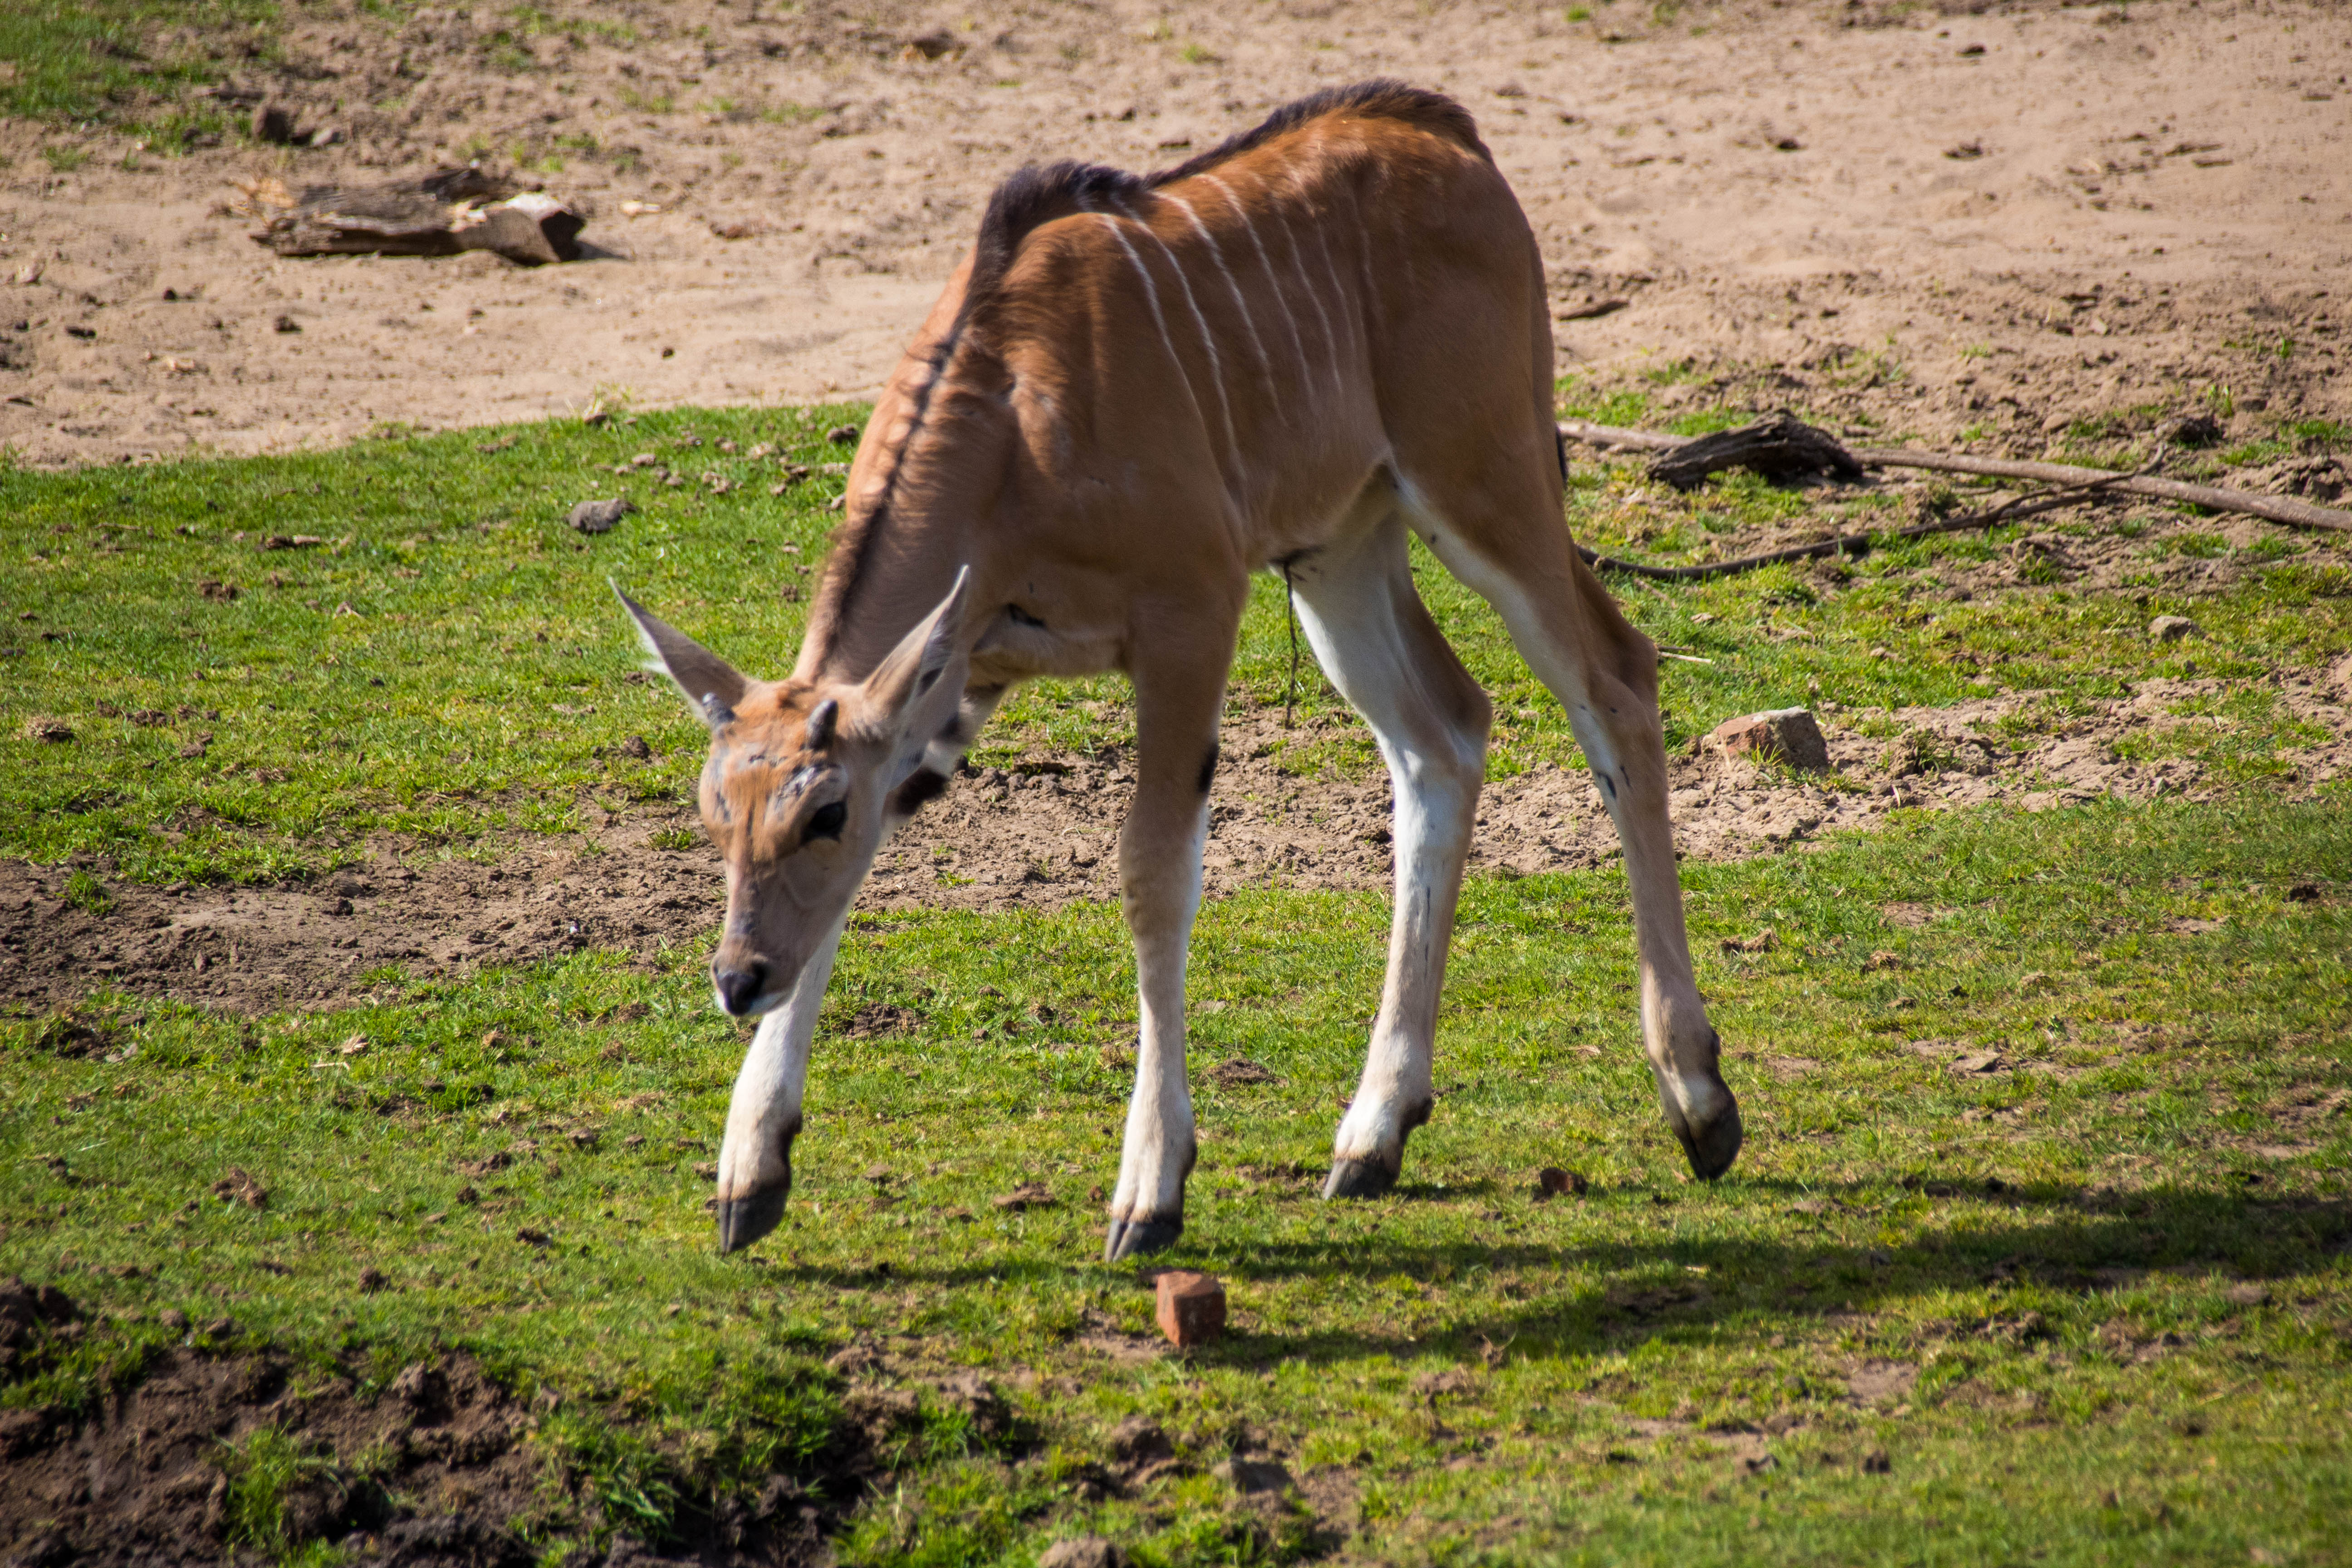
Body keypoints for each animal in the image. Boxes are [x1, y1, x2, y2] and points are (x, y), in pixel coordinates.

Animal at [616, 83, 1740, 1260]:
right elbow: (859, 887)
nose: (737, 979)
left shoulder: (1190, 615)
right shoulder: (956, 675)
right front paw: (751, 1167)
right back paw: (1373, 1133)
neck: (1015, 412)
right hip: (1342, 550)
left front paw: (1150, 1186)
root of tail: (1451, 137)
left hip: (1488, 482)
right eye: (717, 813)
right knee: (1443, 735)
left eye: (820, 811)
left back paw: (1699, 1099)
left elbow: (1154, 877)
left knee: (1615, 680)